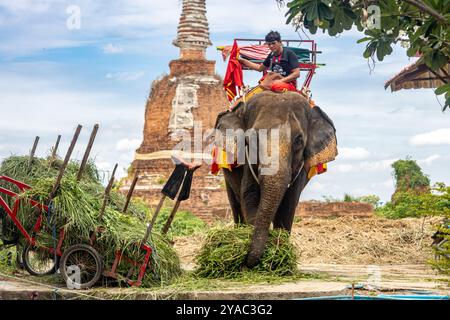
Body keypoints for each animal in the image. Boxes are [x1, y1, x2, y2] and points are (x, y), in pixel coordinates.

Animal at [213, 90, 336, 268]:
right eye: (251, 140)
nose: (247, 262)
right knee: (236, 204)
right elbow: (249, 196)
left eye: (298, 141)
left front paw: (278, 255)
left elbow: (289, 203)